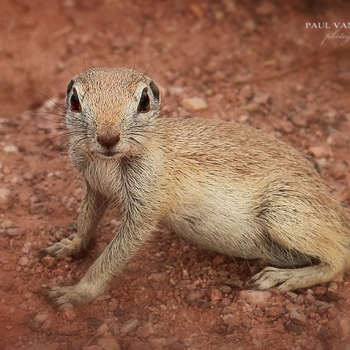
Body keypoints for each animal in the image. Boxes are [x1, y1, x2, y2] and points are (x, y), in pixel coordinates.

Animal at [43, 67, 350, 304]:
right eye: (74, 100)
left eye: (144, 100)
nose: (108, 138)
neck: (108, 162)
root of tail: (339, 212)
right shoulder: (93, 186)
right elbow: (86, 220)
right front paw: (69, 245)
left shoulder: (145, 204)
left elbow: (112, 256)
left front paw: (76, 293)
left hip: (284, 212)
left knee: (338, 260)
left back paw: (282, 277)